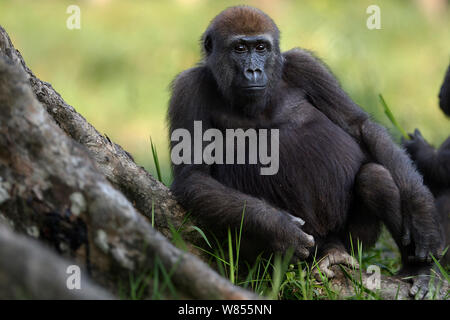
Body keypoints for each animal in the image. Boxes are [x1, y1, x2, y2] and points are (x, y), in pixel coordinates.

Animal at [166, 5, 442, 298]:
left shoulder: (305, 65)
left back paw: (418, 269)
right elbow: (194, 177)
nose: (253, 70)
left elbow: (360, 127)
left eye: (261, 47)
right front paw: (278, 227)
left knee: (374, 178)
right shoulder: (188, 88)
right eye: (239, 48)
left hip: (353, 241)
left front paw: (422, 211)